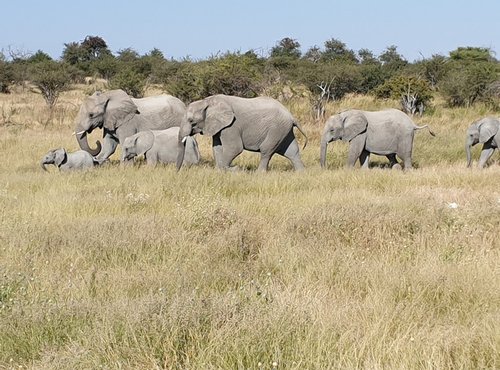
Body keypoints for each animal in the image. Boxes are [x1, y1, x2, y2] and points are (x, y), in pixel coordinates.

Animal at [176, 94, 308, 171]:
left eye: (191, 121)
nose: (178, 171)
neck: (207, 102)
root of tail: (291, 116)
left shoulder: (232, 126)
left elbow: (235, 148)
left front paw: (230, 169)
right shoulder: (220, 127)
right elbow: (216, 147)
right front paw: (219, 171)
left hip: (276, 129)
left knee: (266, 150)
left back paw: (259, 174)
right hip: (284, 130)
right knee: (292, 151)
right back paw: (301, 173)